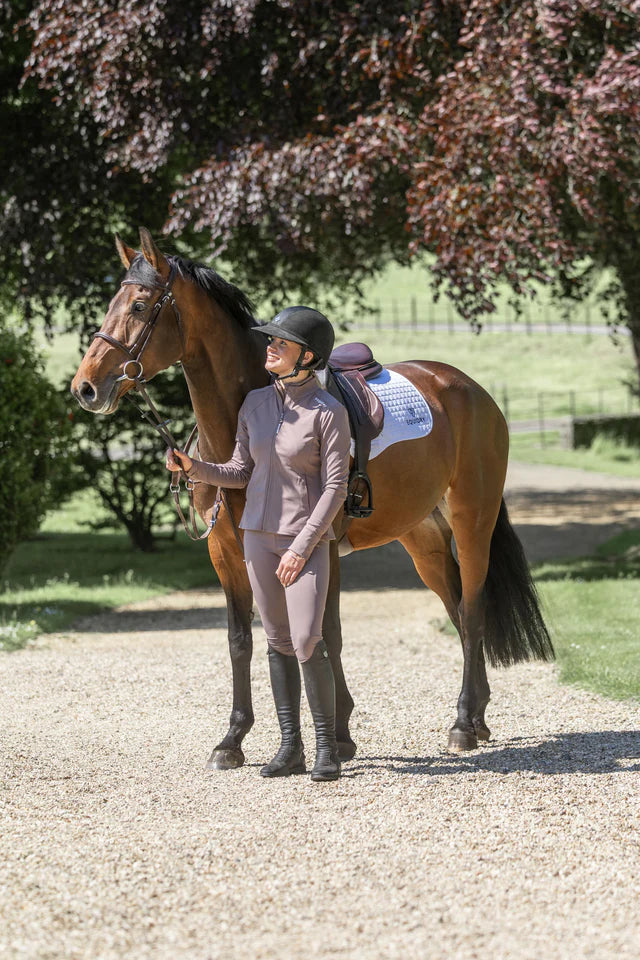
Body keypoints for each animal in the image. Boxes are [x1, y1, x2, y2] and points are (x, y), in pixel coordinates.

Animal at [71, 227, 553, 768]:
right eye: (111, 303)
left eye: (138, 305)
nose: (85, 388)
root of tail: (471, 390)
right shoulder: (227, 555)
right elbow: (242, 641)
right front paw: (233, 739)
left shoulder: (320, 549)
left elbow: (328, 636)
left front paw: (337, 736)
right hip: (423, 540)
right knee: (457, 610)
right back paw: (478, 716)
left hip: (473, 525)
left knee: (471, 612)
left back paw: (463, 725)